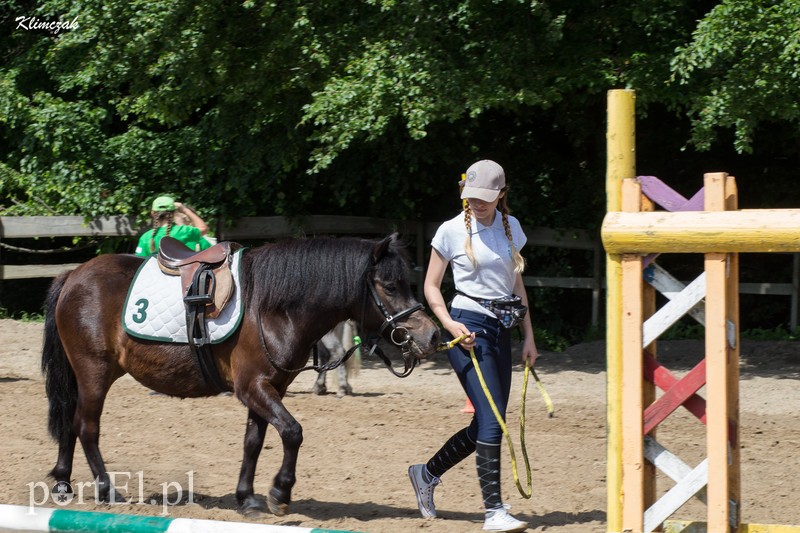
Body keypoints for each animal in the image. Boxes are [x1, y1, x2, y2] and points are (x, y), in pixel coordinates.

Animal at [40, 233, 440, 516]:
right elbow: (292, 432)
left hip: (84, 375)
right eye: (390, 286)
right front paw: (280, 491)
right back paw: (107, 489)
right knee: (86, 427)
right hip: (94, 371)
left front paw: (247, 498)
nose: (431, 335)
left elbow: (254, 442)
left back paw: (62, 483)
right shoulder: (253, 388)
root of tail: (72, 276)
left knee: (70, 424)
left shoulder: (267, 388)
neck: (272, 306)